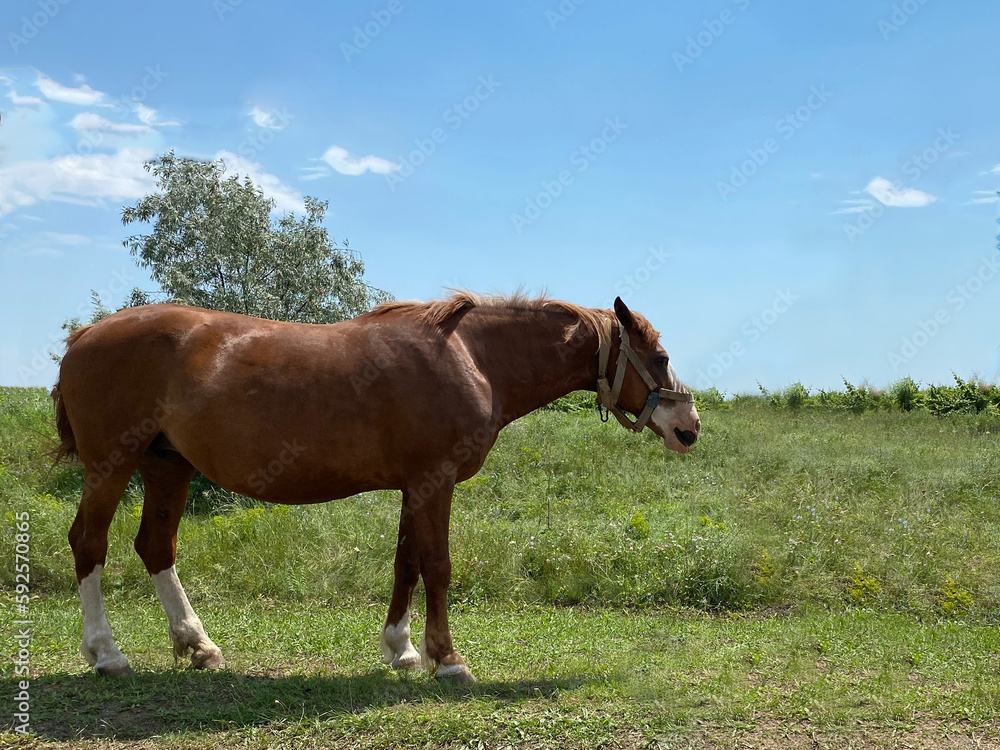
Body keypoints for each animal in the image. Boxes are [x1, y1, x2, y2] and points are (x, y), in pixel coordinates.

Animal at [52, 292, 700, 683]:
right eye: (659, 356)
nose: (688, 428)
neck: (472, 358)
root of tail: (86, 335)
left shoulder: (416, 486)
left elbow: (405, 562)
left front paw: (402, 648)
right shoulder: (435, 482)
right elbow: (436, 565)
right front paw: (448, 660)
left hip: (167, 465)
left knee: (155, 547)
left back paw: (197, 645)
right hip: (113, 464)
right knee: (89, 542)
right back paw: (107, 653)